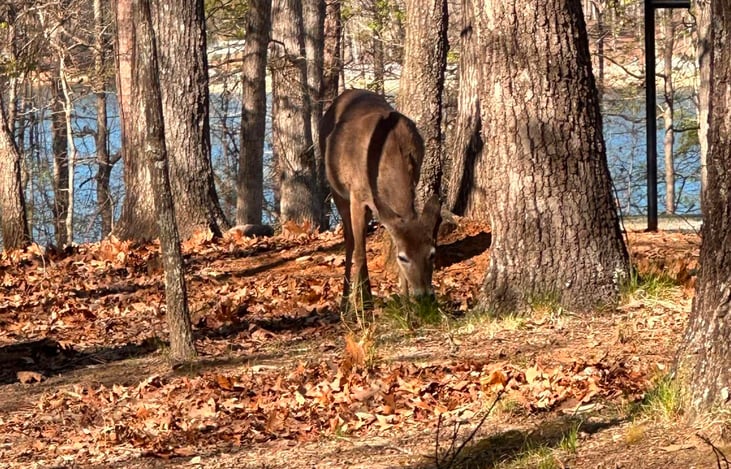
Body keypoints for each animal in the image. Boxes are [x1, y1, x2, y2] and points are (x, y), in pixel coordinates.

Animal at [319, 89, 441, 309]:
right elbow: (360, 253)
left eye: (432, 253)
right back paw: (345, 301)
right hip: (337, 188)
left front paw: (405, 304)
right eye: (403, 258)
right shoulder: (357, 195)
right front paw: (366, 306)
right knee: (350, 241)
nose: (425, 296)